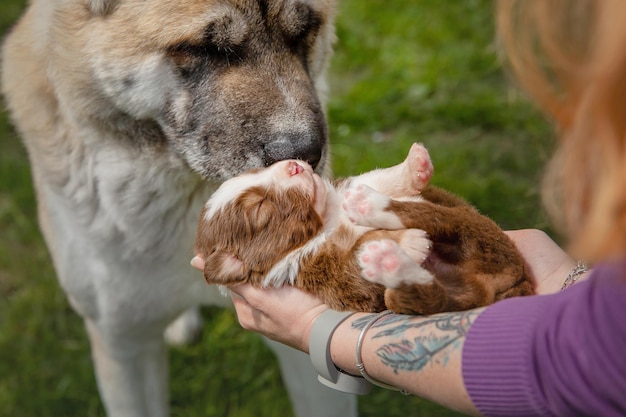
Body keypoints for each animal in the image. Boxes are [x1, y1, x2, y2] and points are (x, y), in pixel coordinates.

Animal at [195, 143, 532, 312]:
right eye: (260, 208)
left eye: (258, 170)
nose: (293, 165)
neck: (330, 217)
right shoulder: (324, 271)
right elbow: (355, 258)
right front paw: (402, 244)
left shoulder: (349, 186)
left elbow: (378, 178)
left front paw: (415, 166)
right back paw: (389, 257)